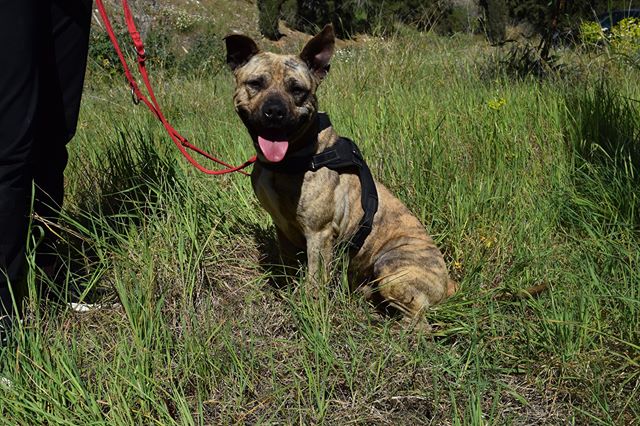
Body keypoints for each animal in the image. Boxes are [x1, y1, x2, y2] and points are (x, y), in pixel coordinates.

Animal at [225, 23, 456, 316]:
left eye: (298, 90)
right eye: (255, 84)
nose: (275, 111)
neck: (294, 156)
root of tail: (448, 282)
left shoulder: (319, 234)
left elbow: (315, 280)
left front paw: (311, 310)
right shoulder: (283, 230)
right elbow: (287, 267)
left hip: (391, 265)